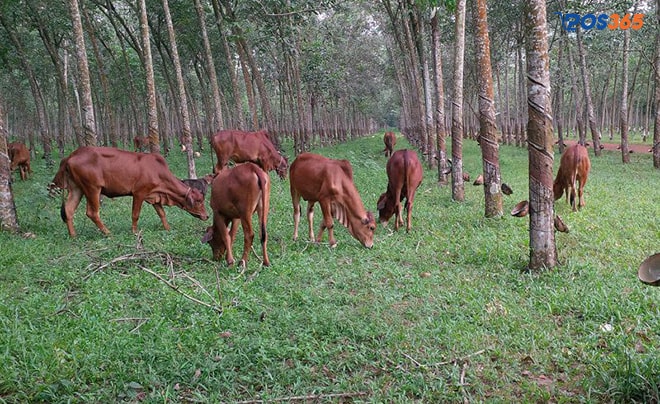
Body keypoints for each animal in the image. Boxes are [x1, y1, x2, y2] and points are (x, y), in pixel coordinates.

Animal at [50, 147, 208, 237]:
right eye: (199, 201)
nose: (206, 216)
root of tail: (71, 156)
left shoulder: (154, 196)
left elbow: (162, 214)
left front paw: (168, 229)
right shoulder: (139, 193)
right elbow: (135, 215)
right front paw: (134, 232)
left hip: (77, 189)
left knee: (69, 210)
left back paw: (73, 235)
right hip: (92, 188)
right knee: (92, 212)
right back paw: (107, 233)